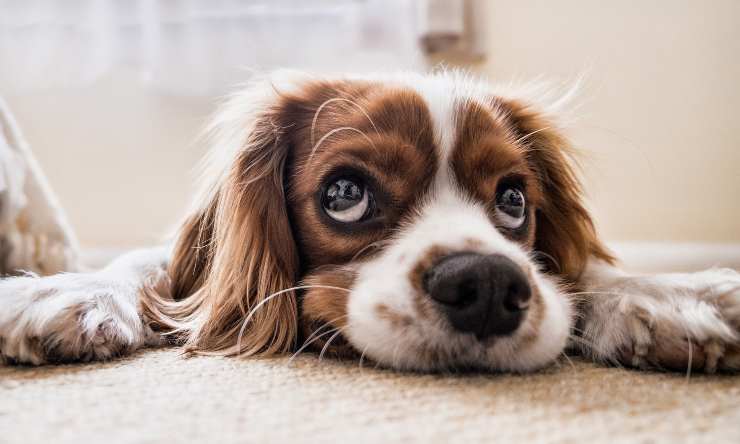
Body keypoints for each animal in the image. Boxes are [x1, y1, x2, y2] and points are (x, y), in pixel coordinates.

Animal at [1, 72, 740, 372]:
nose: (487, 285)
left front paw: (670, 295)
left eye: (513, 201)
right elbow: (146, 266)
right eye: (345, 193)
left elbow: (586, 272)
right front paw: (64, 291)